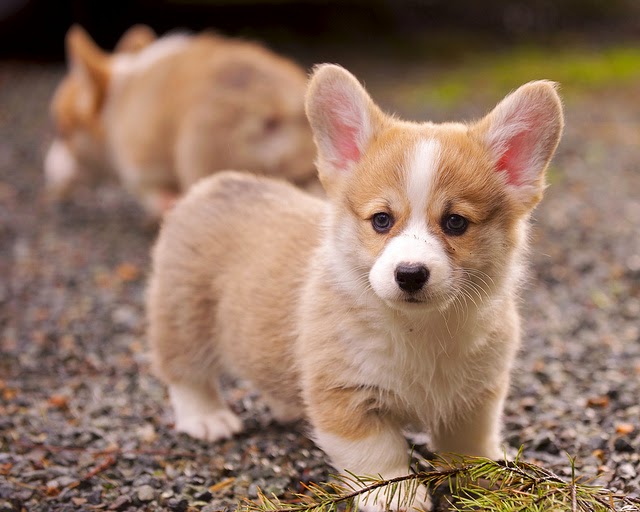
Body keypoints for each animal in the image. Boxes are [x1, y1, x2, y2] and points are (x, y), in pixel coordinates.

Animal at [148, 64, 564, 508]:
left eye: (455, 223)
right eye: (381, 220)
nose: (410, 273)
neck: (421, 329)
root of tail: (216, 183)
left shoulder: (476, 396)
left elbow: (471, 444)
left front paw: (487, 476)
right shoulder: (346, 396)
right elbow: (377, 453)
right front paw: (396, 496)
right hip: (183, 316)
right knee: (184, 372)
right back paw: (207, 418)